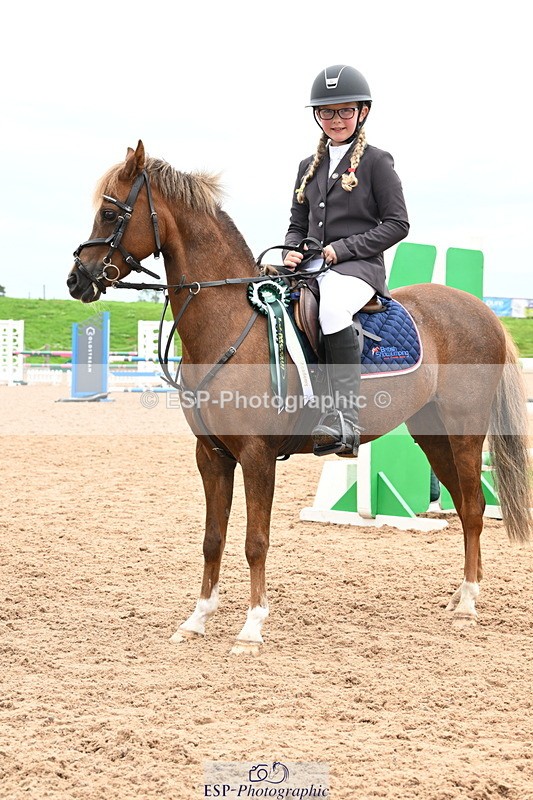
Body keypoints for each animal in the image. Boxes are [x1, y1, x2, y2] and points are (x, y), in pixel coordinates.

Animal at [67, 141, 532, 654]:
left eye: (111, 213)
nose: (76, 280)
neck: (231, 323)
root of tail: (482, 310)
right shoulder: (211, 455)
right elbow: (212, 538)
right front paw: (197, 619)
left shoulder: (256, 455)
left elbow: (255, 540)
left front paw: (251, 628)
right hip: (432, 434)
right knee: (465, 504)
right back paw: (462, 594)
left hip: (465, 432)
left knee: (473, 508)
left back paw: (468, 603)